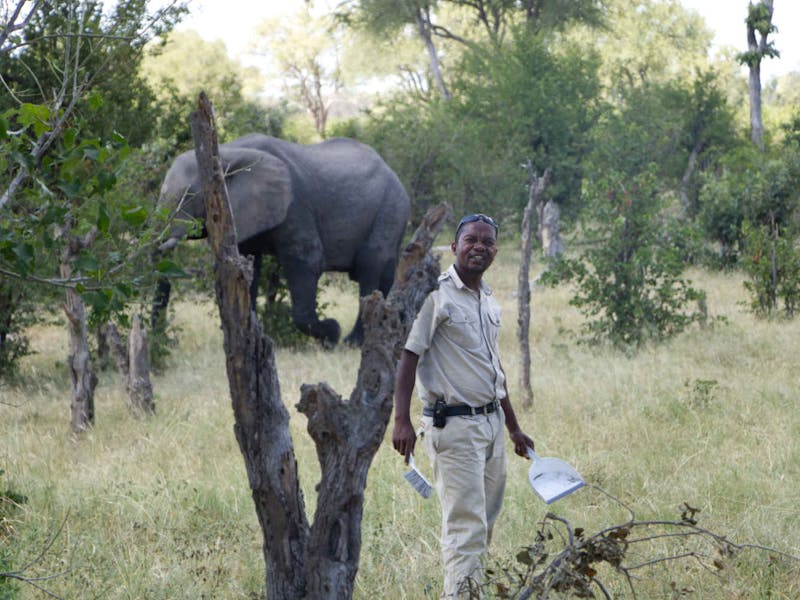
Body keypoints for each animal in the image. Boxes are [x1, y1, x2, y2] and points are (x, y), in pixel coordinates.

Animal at [155, 133, 412, 344]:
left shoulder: (295, 205)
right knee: (386, 270)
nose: (167, 341)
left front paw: (332, 333)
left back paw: (354, 342)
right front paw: (251, 337)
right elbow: (246, 267)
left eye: (190, 195)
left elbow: (308, 260)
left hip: (392, 206)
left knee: (370, 264)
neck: (226, 153)